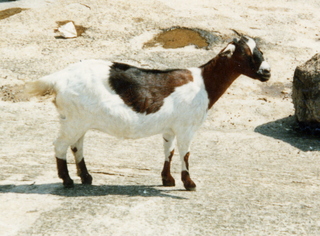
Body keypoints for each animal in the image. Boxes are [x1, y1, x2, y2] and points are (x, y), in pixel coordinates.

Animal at [26, 34, 270, 190]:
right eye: (246, 53)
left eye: (259, 50)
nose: (267, 72)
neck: (204, 83)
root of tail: (58, 78)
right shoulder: (186, 127)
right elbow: (185, 153)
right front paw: (189, 184)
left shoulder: (170, 128)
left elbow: (168, 151)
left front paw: (167, 180)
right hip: (72, 121)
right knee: (60, 145)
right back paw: (67, 181)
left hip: (78, 121)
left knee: (77, 145)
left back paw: (86, 177)